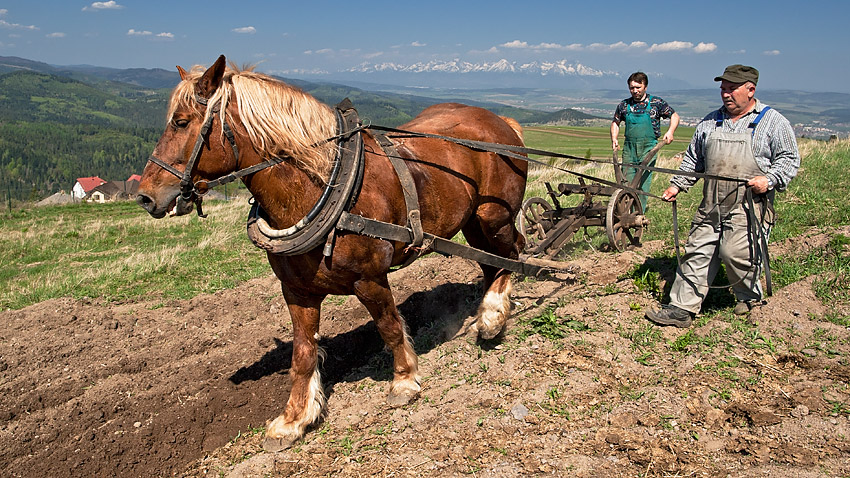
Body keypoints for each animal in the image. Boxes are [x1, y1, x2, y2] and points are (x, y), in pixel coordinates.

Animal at [136, 54, 528, 450]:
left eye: (181, 122)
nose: (145, 196)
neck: (326, 185)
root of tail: (500, 120)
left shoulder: (370, 279)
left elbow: (389, 326)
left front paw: (404, 381)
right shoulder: (297, 291)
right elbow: (302, 353)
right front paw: (293, 419)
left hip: (493, 217)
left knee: (514, 254)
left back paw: (493, 317)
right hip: (473, 221)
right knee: (490, 263)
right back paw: (489, 313)